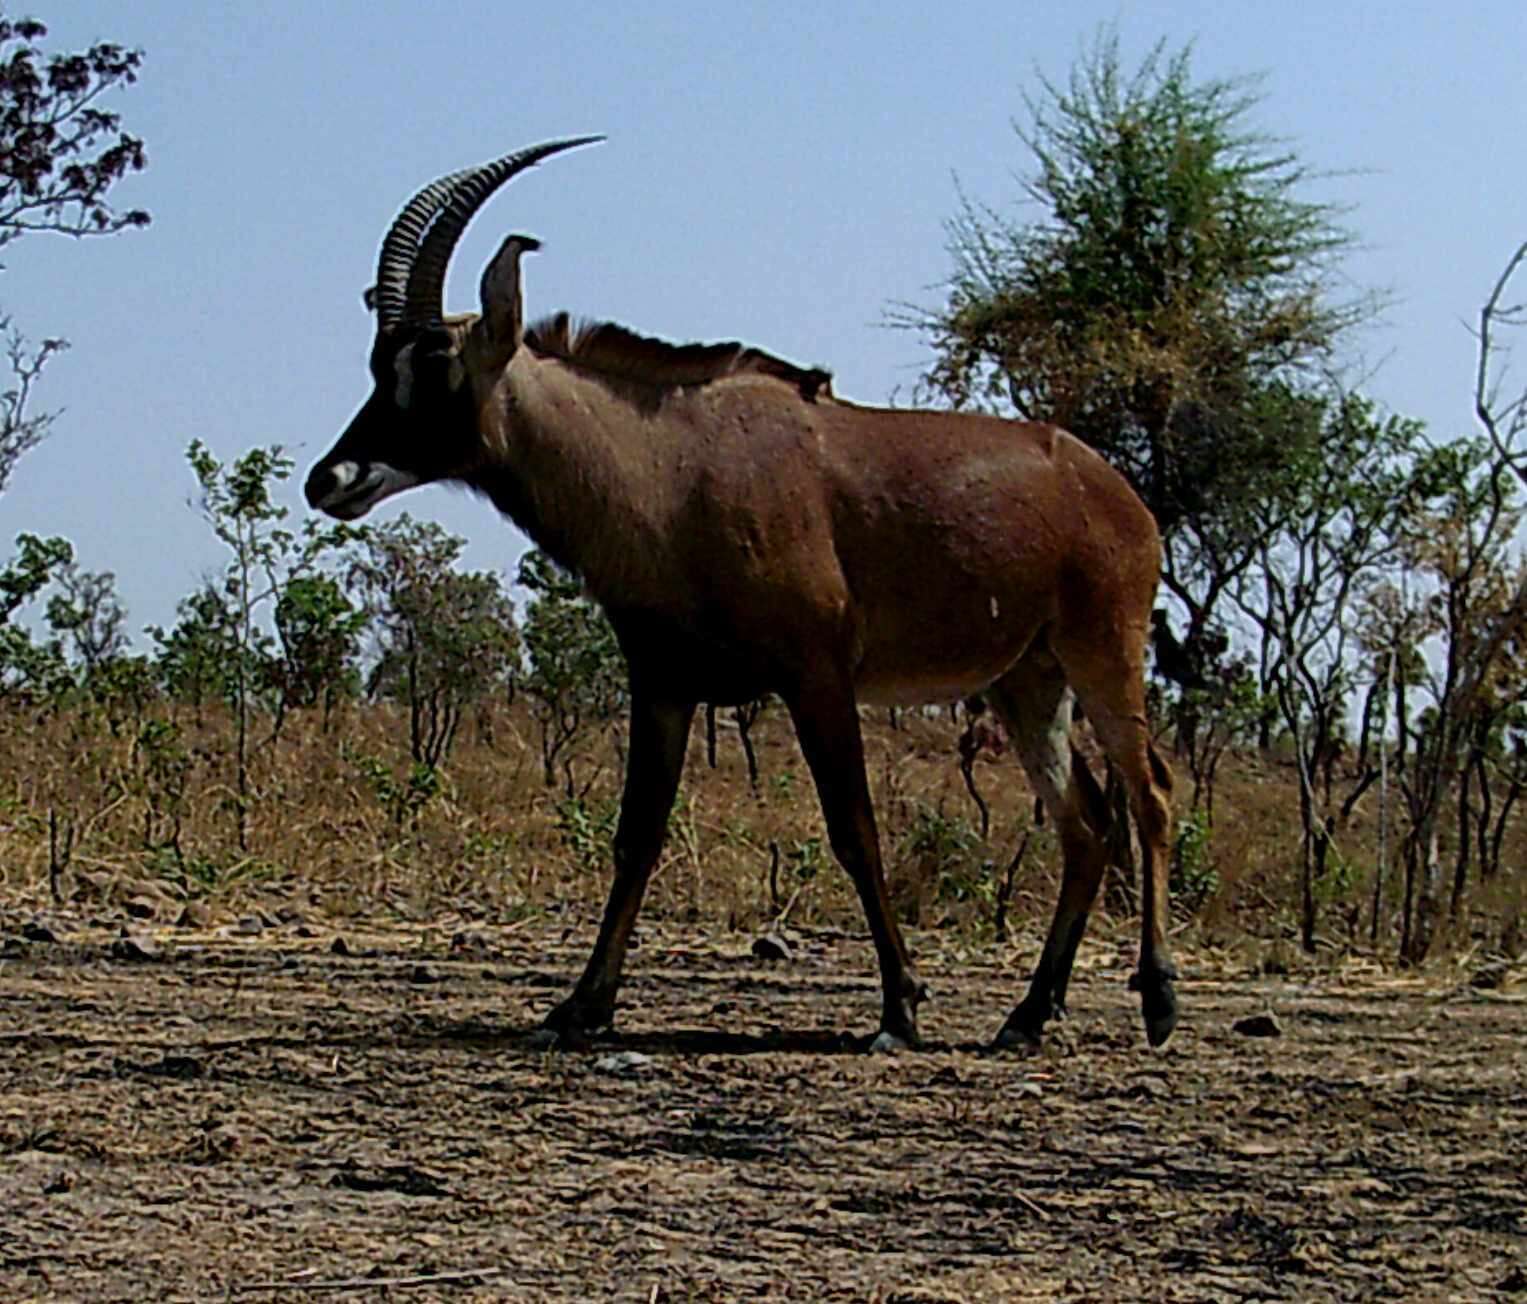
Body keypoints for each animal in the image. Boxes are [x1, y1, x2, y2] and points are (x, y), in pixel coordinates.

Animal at [300, 140, 1178, 1050]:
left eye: (435, 365)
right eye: (378, 365)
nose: (328, 479)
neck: (669, 469)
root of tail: (1114, 490)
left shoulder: (815, 676)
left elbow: (854, 831)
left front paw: (900, 1006)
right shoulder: (662, 683)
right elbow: (636, 836)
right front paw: (582, 1004)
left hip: (1101, 653)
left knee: (1149, 794)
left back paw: (1156, 999)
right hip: (1027, 682)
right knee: (1086, 824)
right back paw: (1028, 1016)